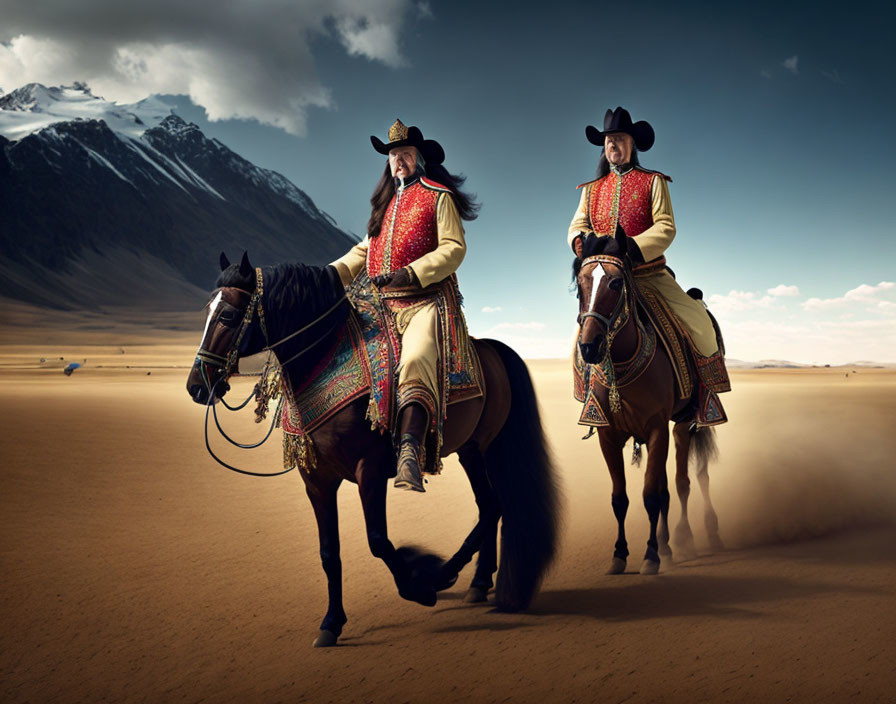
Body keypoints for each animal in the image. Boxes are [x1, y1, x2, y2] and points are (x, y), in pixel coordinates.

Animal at [185, 254, 556, 648]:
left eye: (227, 316)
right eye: (206, 311)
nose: (197, 385)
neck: (323, 362)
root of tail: (493, 349)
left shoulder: (371, 469)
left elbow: (378, 540)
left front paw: (418, 586)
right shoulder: (317, 480)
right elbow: (329, 553)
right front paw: (331, 623)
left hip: (477, 447)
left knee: (491, 506)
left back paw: (446, 575)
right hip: (475, 450)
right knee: (490, 506)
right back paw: (478, 582)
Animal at [576, 234, 724, 576]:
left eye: (616, 282)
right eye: (580, 284)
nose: (590, 346)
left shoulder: (657, 428)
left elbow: (651, 496)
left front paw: (652, 555)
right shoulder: (608, 436)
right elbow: (621, 498)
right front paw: (619, 554)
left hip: (688, 421)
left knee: (690, 479)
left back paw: (697, 536)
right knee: (672, 486)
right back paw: (673, 544)